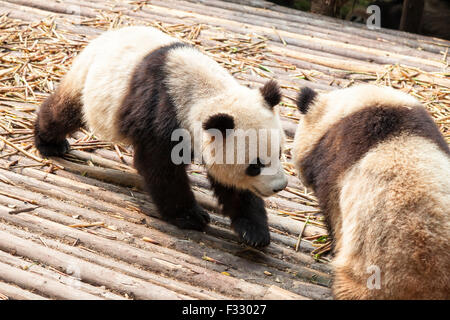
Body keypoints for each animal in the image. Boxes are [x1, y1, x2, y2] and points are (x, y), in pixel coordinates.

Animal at [34, 26, 288, 249]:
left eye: (279, 153)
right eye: (254, 165)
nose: (280, 186)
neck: (206, 92)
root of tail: (103, 37)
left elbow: (233, 187)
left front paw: (254, 232)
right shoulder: (162, 114)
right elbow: (161, 167)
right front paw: (191, 216)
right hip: (90, 81)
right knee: (65, 111)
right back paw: (49, 143)